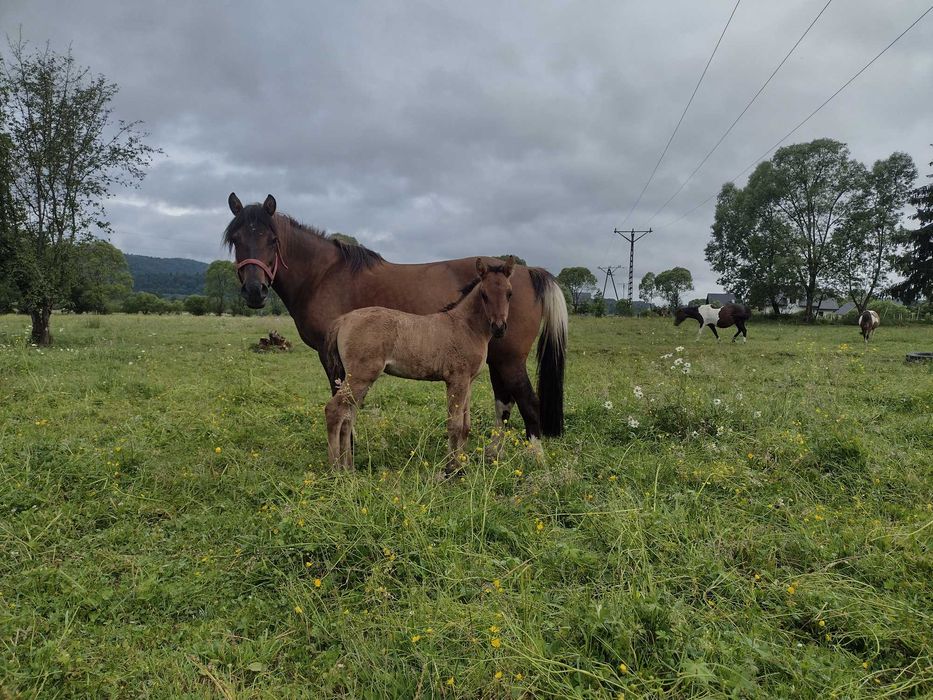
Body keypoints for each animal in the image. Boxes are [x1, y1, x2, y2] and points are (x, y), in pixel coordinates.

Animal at [224, 191, 568, 446]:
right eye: (236, 239)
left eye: (272, 240)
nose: (254, 291)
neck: (323, 274)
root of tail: (529, 270)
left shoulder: (329, 356)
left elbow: (341, 401)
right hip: (498, 359)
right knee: (504, 404)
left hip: (510, 359)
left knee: (528, 404)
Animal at [326, 258, 516, 470]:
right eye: (484, 294)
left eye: (509, 293)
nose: (499, 328)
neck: (466, 326)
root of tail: (344, 319)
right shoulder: (456, 380)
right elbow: (455, 425)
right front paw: (452, 468)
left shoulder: (469, 382)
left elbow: (466, 426)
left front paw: (461, 464)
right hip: (361, 376)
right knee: (335, 410)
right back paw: (335, 469)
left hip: (358, 379)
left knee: (348, 415)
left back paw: (349, 468)